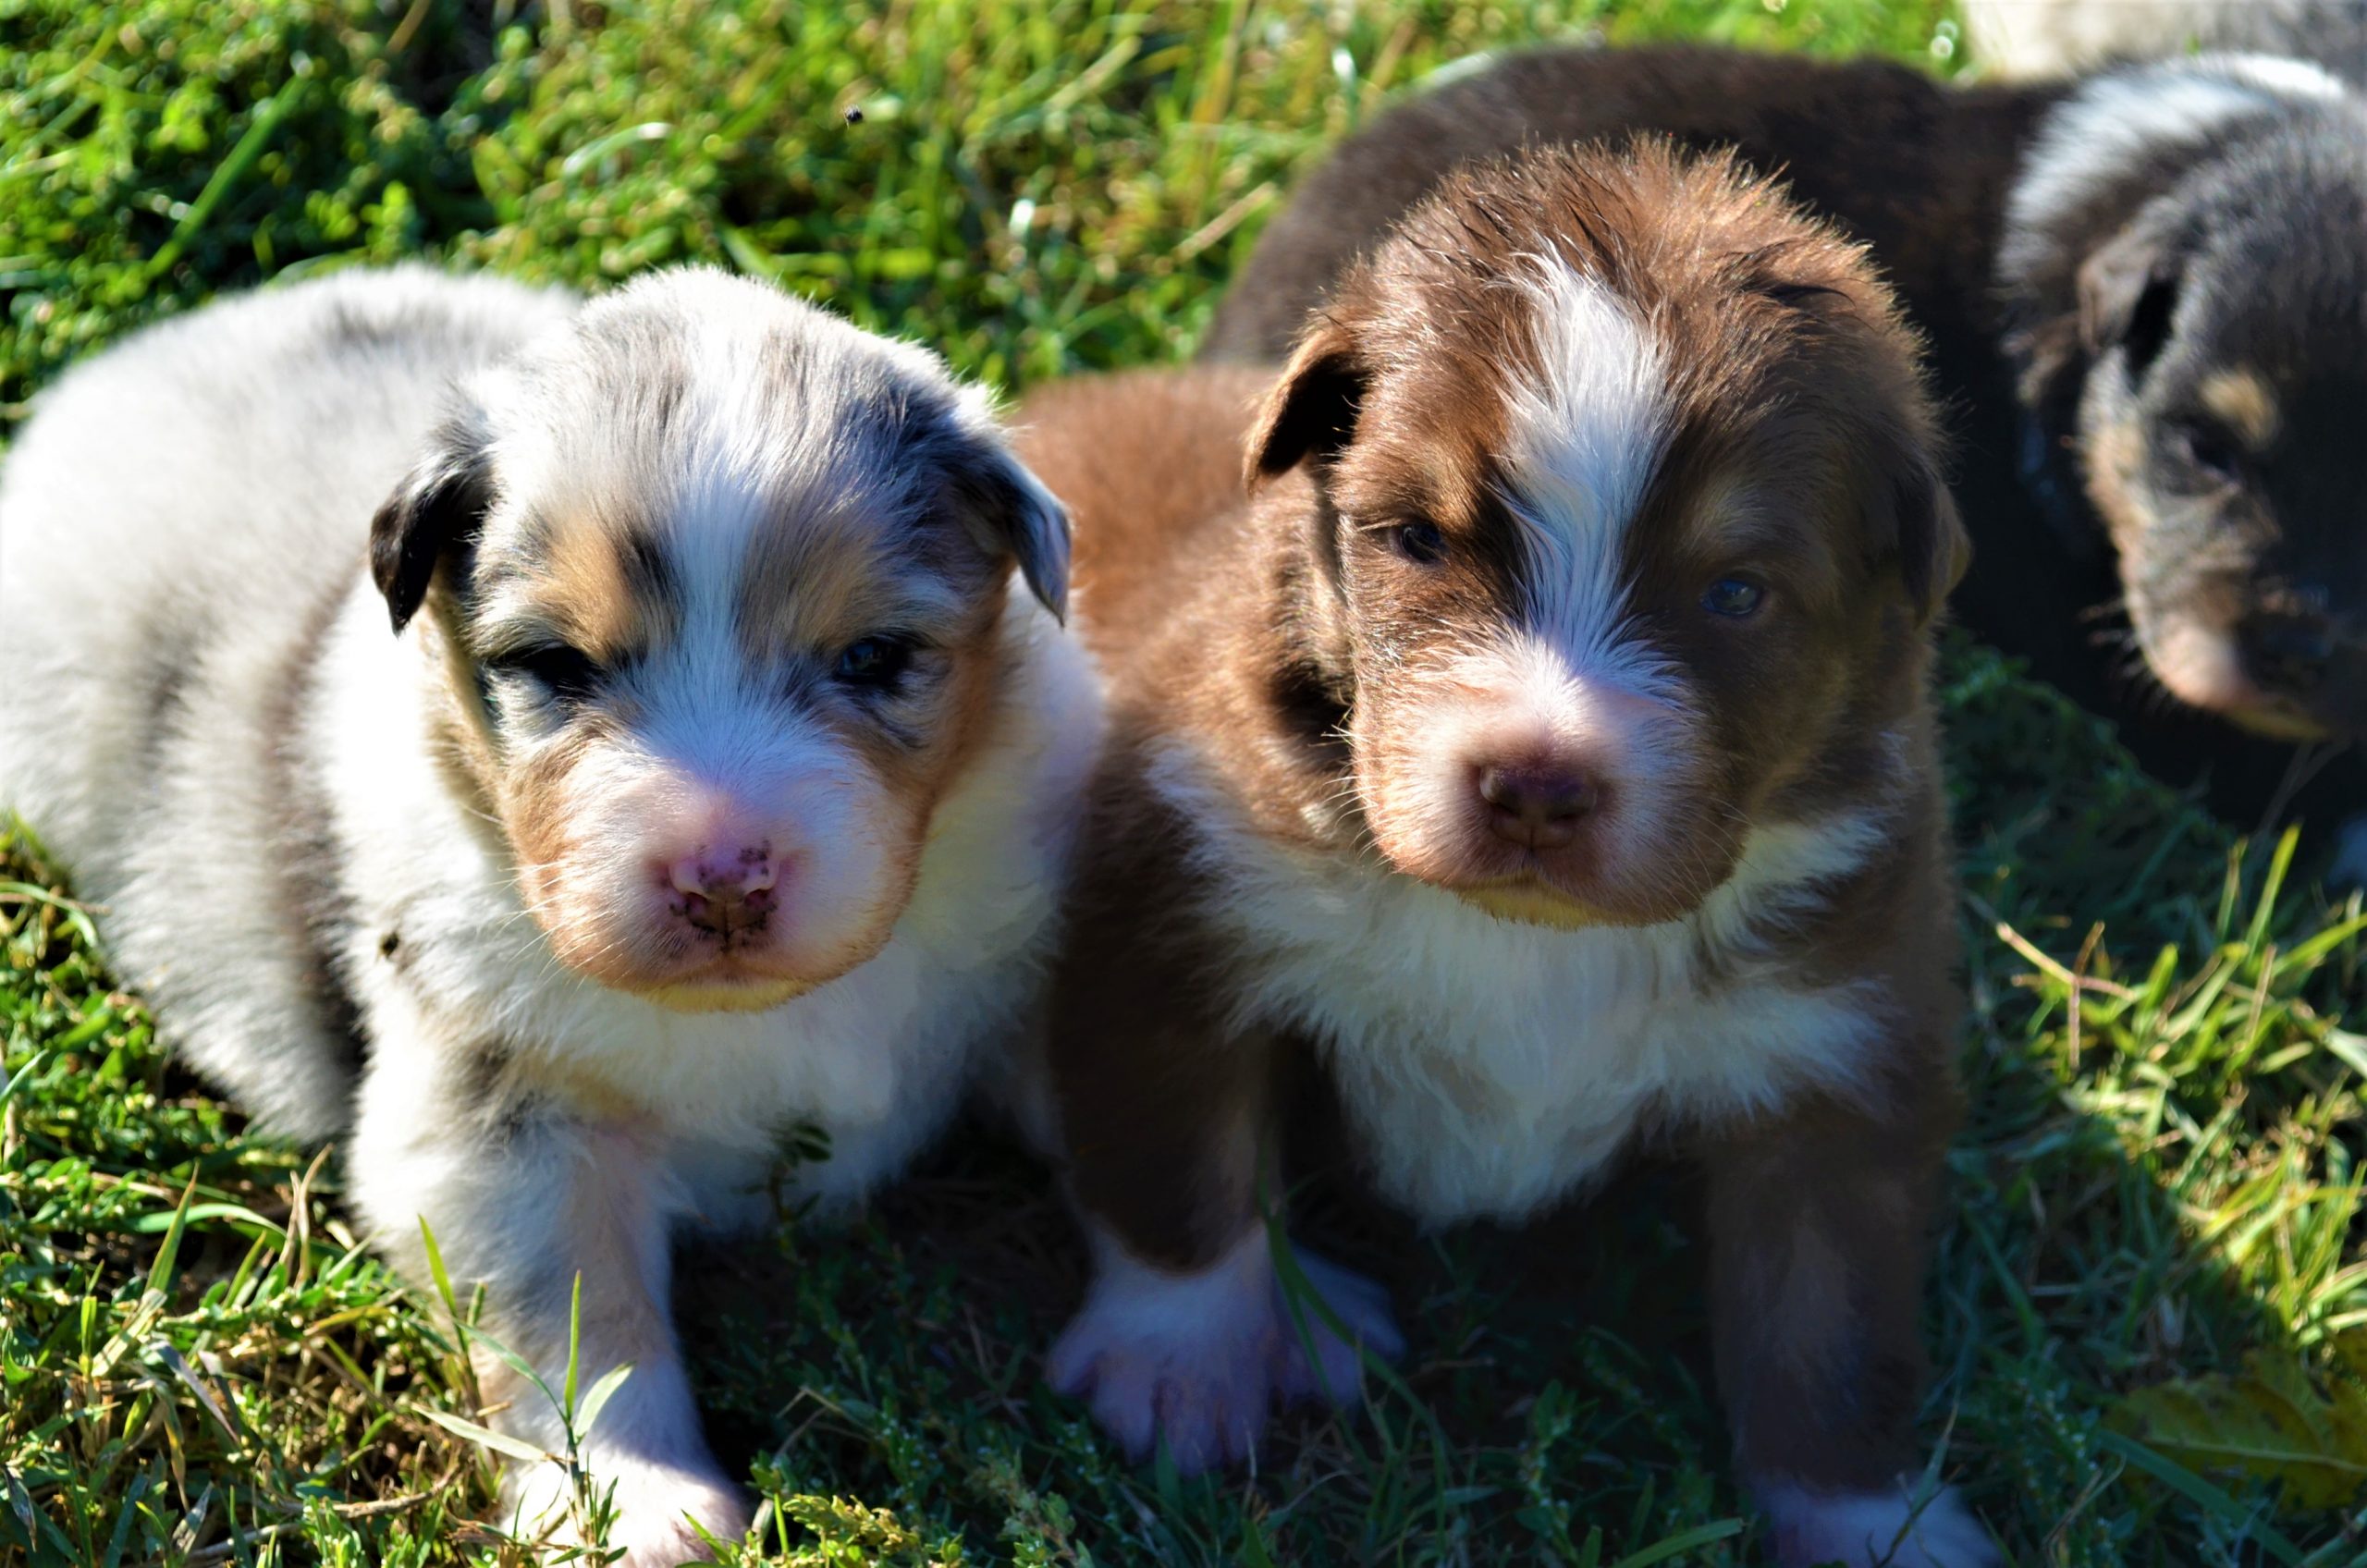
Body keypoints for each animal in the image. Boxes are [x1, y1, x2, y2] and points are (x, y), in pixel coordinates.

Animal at [0, 263, 1098, 1562]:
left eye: (876, 655)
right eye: (556, 666)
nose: (722, 880)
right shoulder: (499, 1113)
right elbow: (578, 1316)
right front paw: (639, 1506)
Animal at [1027, 144, 1988, 1568]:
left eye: (1736, 593)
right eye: (1418, 538)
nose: (1536, 782)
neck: (1531, 940)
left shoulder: (1843, 1047)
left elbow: (1832, 1332)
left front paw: (1872, 1523)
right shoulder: (1177, 914)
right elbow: (1180, 1169)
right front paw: (1183, 1362)